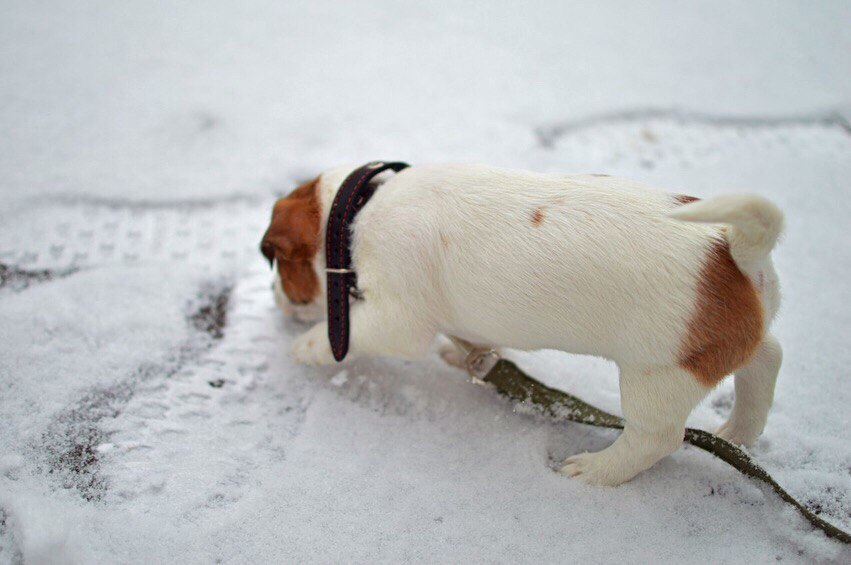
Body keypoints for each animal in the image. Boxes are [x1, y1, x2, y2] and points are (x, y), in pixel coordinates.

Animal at [262, 163, 784, 484]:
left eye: (276, 263)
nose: (274, 299)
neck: (359, 211)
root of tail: (730, 250)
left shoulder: (398, 320)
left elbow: (358, 332)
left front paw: (306, 347)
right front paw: (463, 355)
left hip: (655, 377)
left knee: (656, 439)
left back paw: (596, 471)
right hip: (734, 340)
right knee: (767, 360)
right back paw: (738, 431)